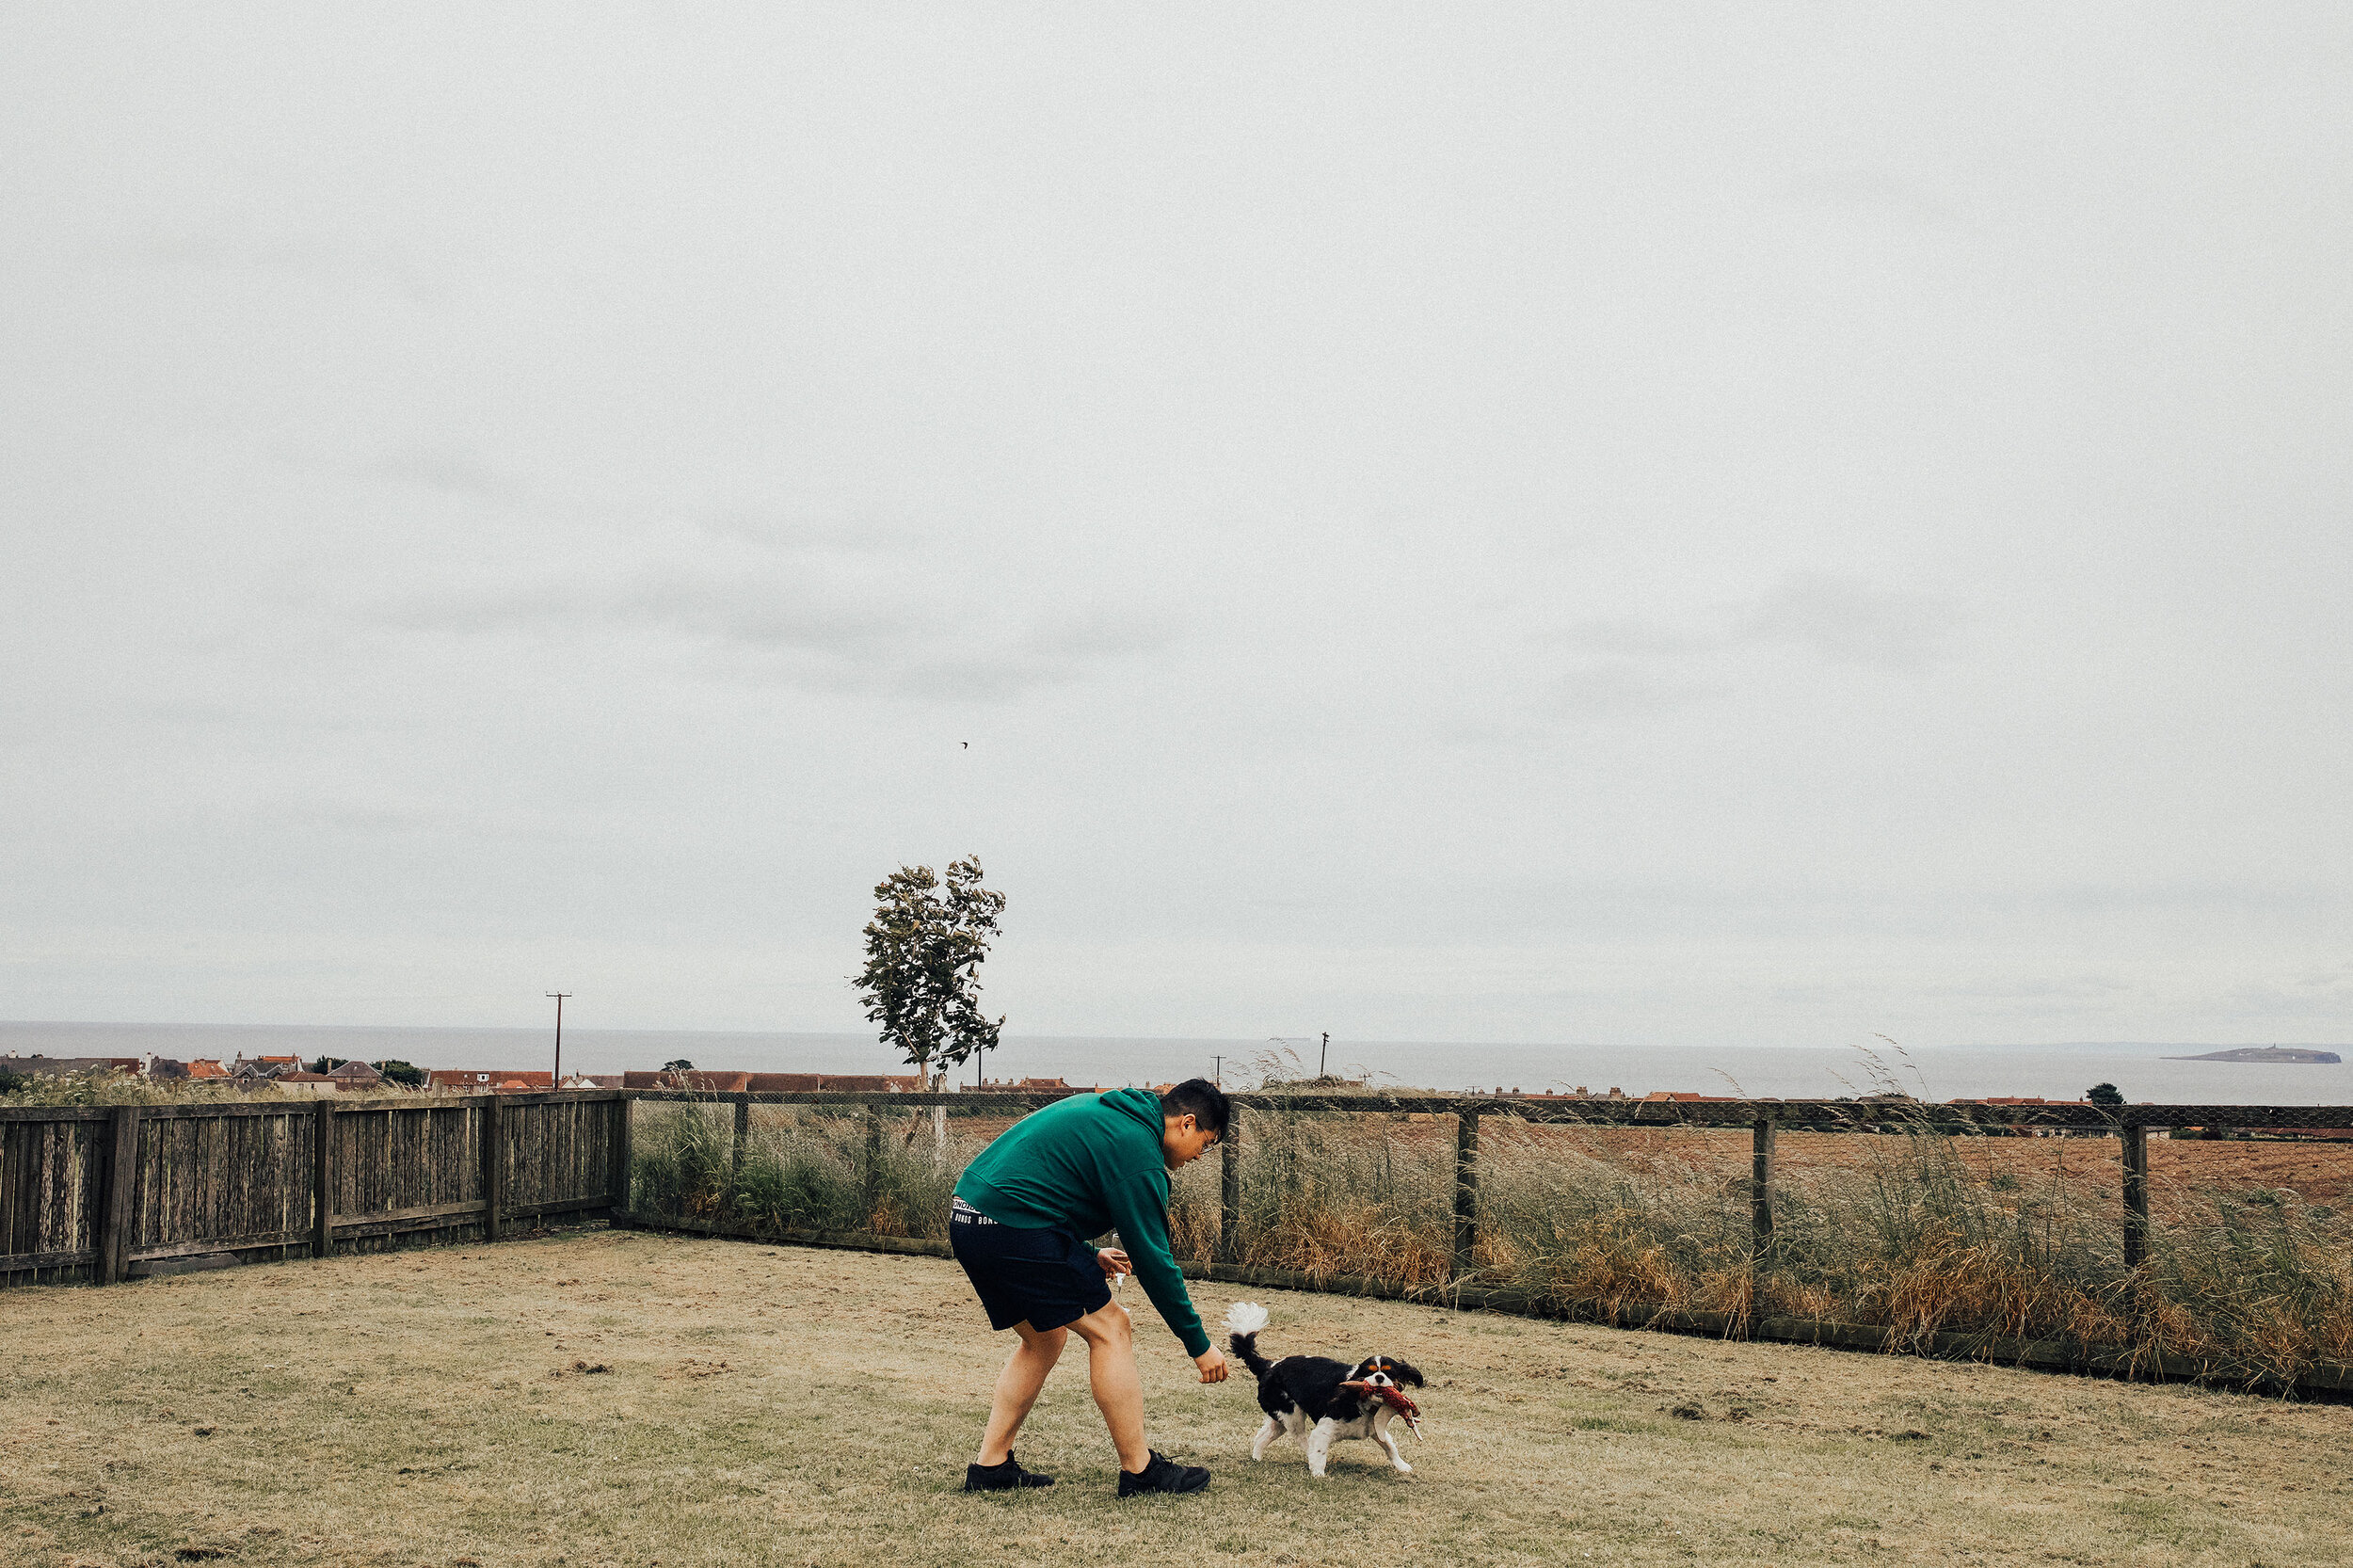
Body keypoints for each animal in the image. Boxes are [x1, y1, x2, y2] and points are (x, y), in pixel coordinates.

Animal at [1224, 1299, 1421, 1468]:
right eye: (1369, 1372)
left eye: (1389, 1373)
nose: (1379, 1378)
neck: (1363, 1403)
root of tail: (1269, 1365)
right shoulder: (1324, 1429)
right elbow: (1318, 1451)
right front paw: (1319, 1475)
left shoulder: (1375, 1429)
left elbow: (1390, 1446)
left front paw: (1402, 1466)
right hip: (1292, 1415)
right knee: (1302, 1440)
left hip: (1279, 1417)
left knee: (1262, 1436)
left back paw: (1256, 1458)